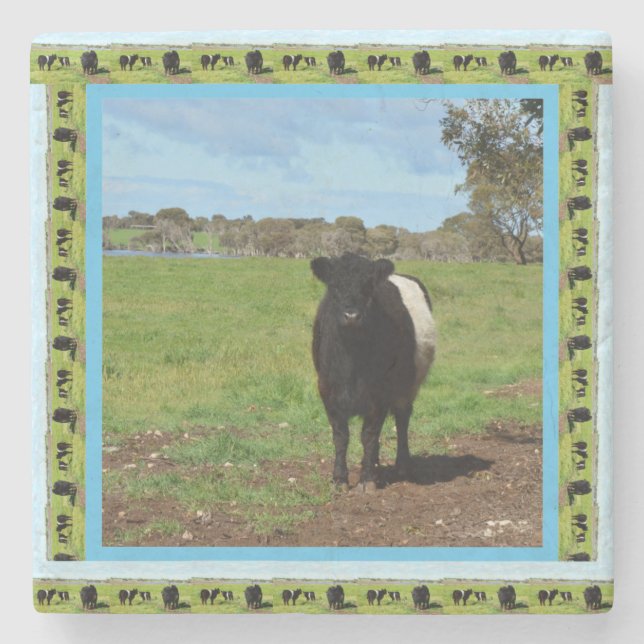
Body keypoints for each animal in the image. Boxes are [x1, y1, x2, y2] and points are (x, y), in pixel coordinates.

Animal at [310, 254, 435, 491]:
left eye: (368, 287)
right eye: (334, 285)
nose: (351, 315)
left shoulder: (380, 391)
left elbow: (368, 435)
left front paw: (367, 479)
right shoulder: (327, 389)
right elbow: (340, 436)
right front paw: (339, 478)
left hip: (407, 386)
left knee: (402, 420)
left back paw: (402, 466)